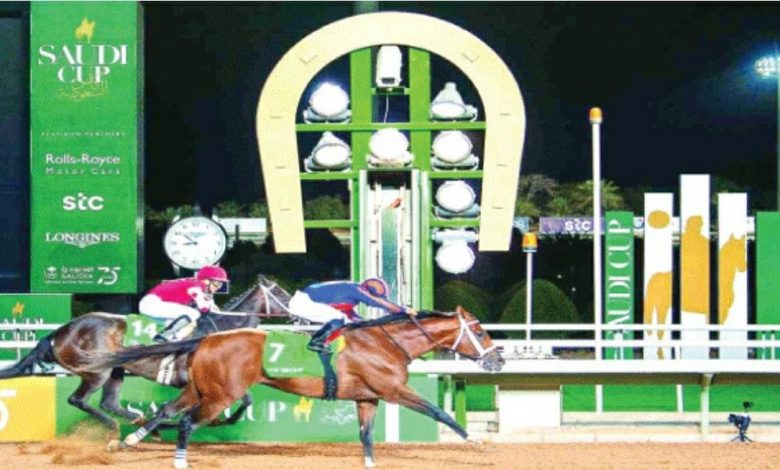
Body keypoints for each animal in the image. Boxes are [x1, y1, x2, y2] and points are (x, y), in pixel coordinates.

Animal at [0, 274, 292, 432]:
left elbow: (246, 401)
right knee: (78, 400)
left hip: (117, 370)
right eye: (280, 292)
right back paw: (116, 425)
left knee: (110, 402)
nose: (296, 309)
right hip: (96, 370)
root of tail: (60, 331)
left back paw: (143, 423)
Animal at [85, 306, 504, 469]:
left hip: (201, 390)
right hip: (221, 396)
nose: (498, 360)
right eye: (480, 331)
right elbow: (439, 412)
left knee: (165, 411)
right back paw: (179, 459)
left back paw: (128, 441)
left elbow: (366, 435)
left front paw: (370, 463)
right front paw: (475, 442)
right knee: (187, 422)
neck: (386, 342)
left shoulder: (367, 398)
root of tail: (205, 339)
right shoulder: (392, 391)